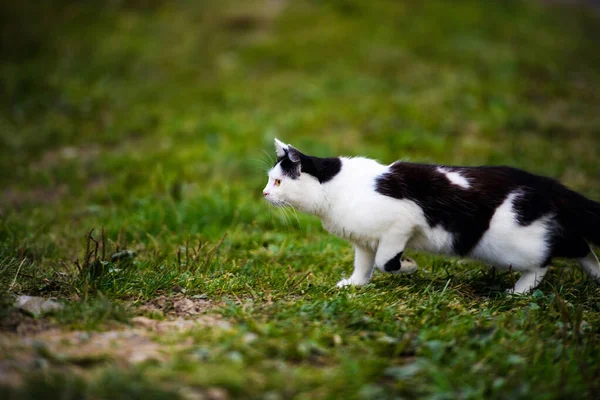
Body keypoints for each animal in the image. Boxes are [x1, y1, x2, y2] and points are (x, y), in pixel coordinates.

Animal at [264, 139, 600, 296]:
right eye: (269, 180)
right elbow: (365, 265)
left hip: (509, 245)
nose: (264, 193)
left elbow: (385, 261)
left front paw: (409, 266)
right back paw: (596, 275)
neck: (334, 187)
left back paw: (520, 291)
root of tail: (548, 185)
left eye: (278, 181)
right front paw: (355, 285)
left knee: (546, 259)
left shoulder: (402, 221)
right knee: (579, 244)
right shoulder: (363, 240)